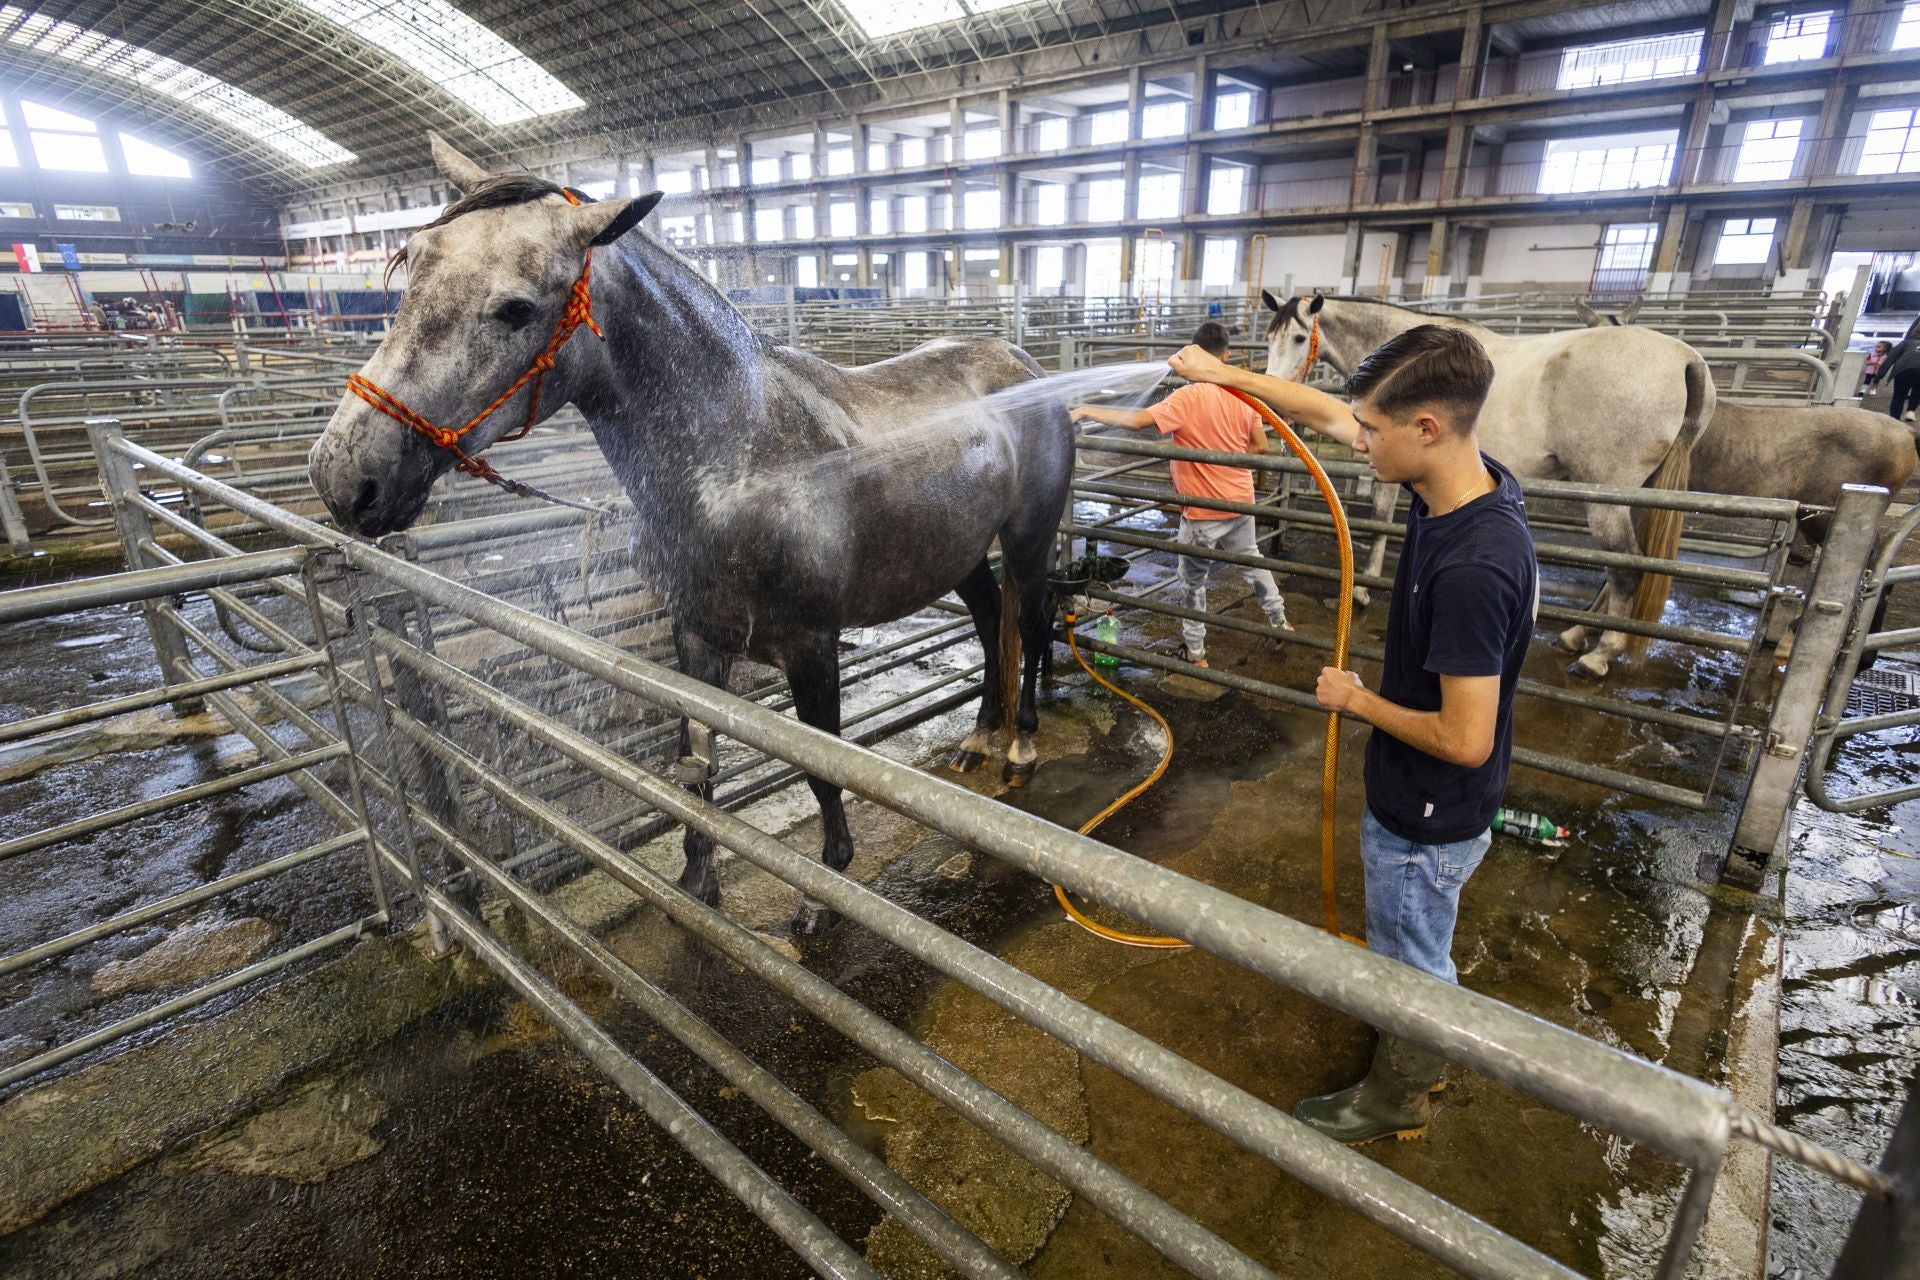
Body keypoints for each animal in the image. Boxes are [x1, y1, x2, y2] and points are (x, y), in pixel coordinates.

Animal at [308, 134, 1074, 935]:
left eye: (517, 308)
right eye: (411, 262)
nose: (343, 475)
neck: (740, 459)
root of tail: (1019, 360)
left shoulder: (812, 646)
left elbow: (821, 766)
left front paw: (821, 891)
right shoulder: (696, 638)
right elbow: (695, 763)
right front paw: (697, 883)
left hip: (1027, 538)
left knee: (1029, 621)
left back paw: (1020, 747)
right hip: (963, 553)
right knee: (989, 621)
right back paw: (978, 739)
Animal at [1264, 292, 1714, 679]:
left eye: (1300, 338)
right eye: (1268, 337)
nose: (1270, 393)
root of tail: (1687, 359)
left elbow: (1380, 513)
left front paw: (1361, 590)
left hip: (1606, 495)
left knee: (1625, 570)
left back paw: (1599, 654)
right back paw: (1576, 635)